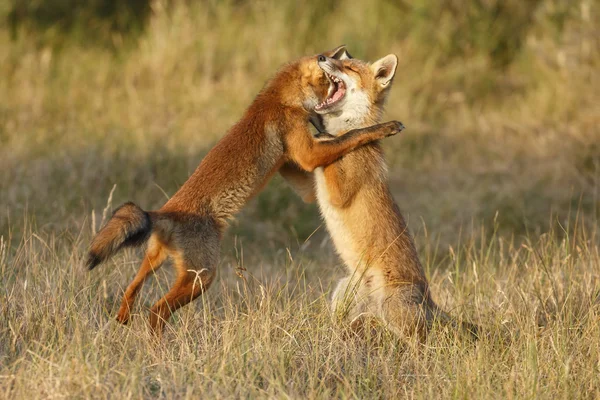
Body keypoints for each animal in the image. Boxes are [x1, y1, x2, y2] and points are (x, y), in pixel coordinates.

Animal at [85, 46, 404, 334]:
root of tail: (164, 213)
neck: (276, 100)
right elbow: (354, 135)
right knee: (156, 312)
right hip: (201, 278)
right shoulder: (308, 154)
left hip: (155, 260)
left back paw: (124, 317)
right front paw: (384, 128)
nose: (330, 56)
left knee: (132, 289)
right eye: (332, 71)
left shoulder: (298, 156)